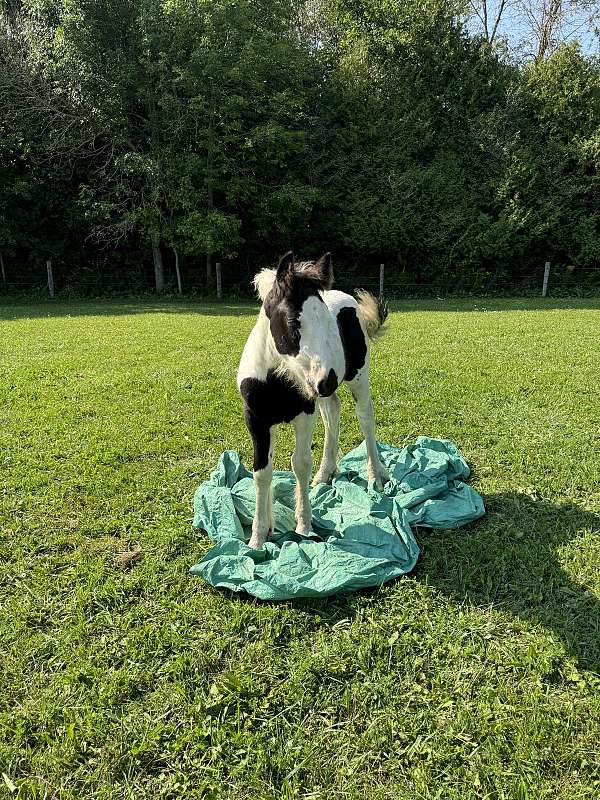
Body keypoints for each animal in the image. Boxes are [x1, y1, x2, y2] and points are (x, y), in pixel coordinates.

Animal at [238, 252, 390, 552]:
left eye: (330, 326)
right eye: (293, 322)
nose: (326, 381)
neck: (277, 381)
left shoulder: (305, 413)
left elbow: (300, 463)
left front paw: (304, 525)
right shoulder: (256, 420)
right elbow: (262, 472)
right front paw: (260, 535)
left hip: (358, 377)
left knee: (365, 418)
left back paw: (374, 475)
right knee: (333, 413)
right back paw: (324, 474)